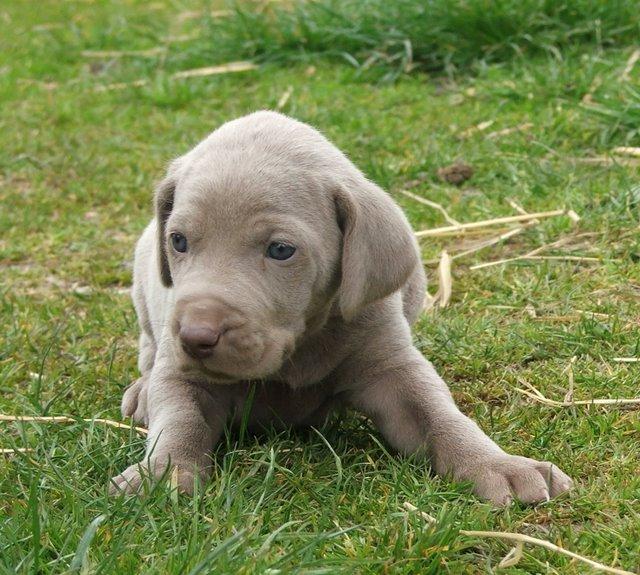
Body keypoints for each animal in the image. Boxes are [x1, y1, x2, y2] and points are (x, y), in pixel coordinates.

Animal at [109, 110, 568, 506]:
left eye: (281, 250)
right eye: (179, 241)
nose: (195, 337)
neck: (300, 345)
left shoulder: (392, 367)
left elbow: (441, 416)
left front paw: (500, 464)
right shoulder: (183, 374)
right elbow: (179, 420)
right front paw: (161, 474)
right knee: (149, 347)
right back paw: (141, 392)